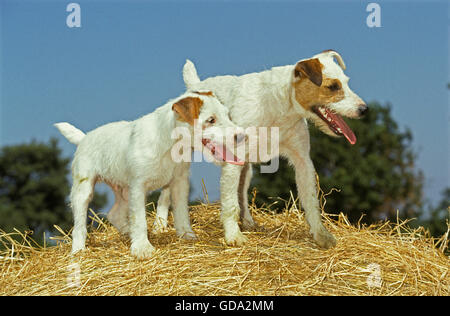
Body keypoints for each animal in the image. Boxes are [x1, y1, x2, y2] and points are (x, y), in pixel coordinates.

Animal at [55, 90, 246, 260]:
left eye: (227, 115)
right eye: (211, 120)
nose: (242, 136)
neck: (171, 144)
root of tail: (84, 138)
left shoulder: (179, 182)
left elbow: (181, 212)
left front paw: (187, 235)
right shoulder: (139, 187)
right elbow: (140, 218)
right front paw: (142, 248)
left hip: (124, 191)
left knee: (114, 214)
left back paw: (128, 233)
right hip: (84, 189)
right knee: (79, 225)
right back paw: (78, 251)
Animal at [154, 49, 366, 248]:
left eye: (346, 82)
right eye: (333, 86)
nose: (364, 110)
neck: (280, 106)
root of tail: (194, 86)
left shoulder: (302, 161)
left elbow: (311, 201)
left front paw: (321, 235)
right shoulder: (233, 161)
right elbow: (230, 204)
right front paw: (233, 236)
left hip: (246, 169)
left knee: (242, 194)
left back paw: (248, 222)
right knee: (167, 192)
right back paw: (160, 225)